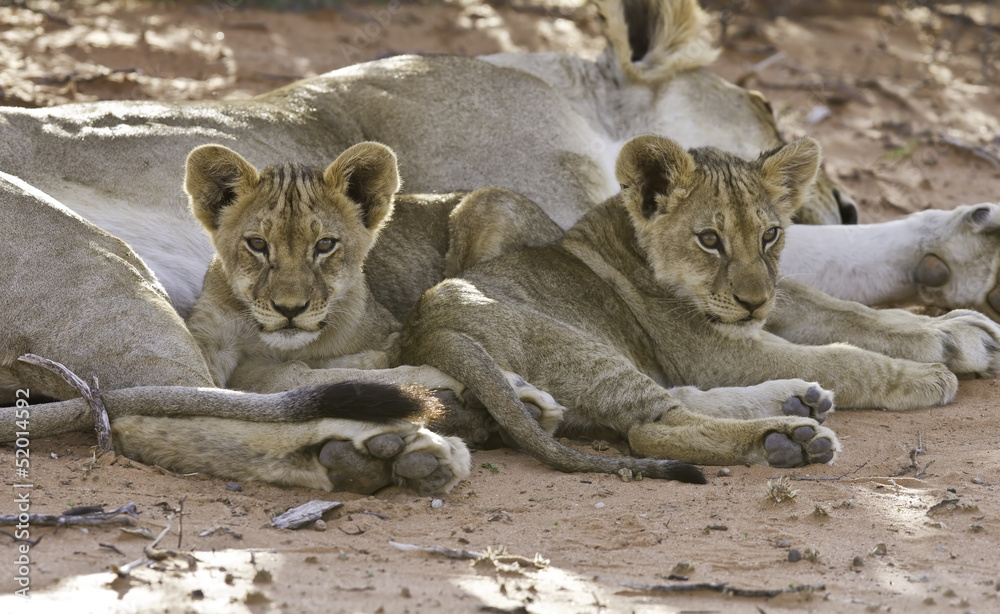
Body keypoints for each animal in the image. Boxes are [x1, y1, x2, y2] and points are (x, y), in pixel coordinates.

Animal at [401, 135, 1000, 475]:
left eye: (770, 235)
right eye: (709, 239)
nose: (753, 302)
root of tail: (426, 324)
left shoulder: (768, 304)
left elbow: (840, 312)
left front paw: (956, 333)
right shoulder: (712, 350)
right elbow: (840, 356)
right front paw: (923, 376)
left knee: (671, 402)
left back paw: (795, 403)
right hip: (575, 345)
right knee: (652, 427)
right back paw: (788, 440)